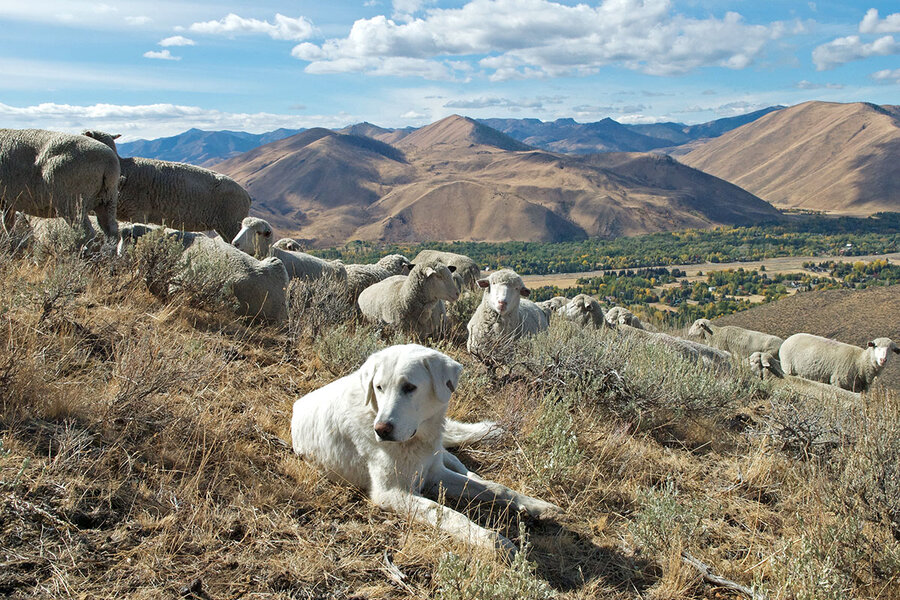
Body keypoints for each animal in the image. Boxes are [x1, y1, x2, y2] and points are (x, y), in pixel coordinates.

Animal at [296, 344, 560, 556]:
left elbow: (496, 488)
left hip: (442, 455)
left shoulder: (434, 474)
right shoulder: (392, 493)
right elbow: (447, 513)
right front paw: (495, 542)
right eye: (378, 387)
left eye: (409, 387)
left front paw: (537, 505)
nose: (381, 430)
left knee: (466, 470)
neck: (415, 440)